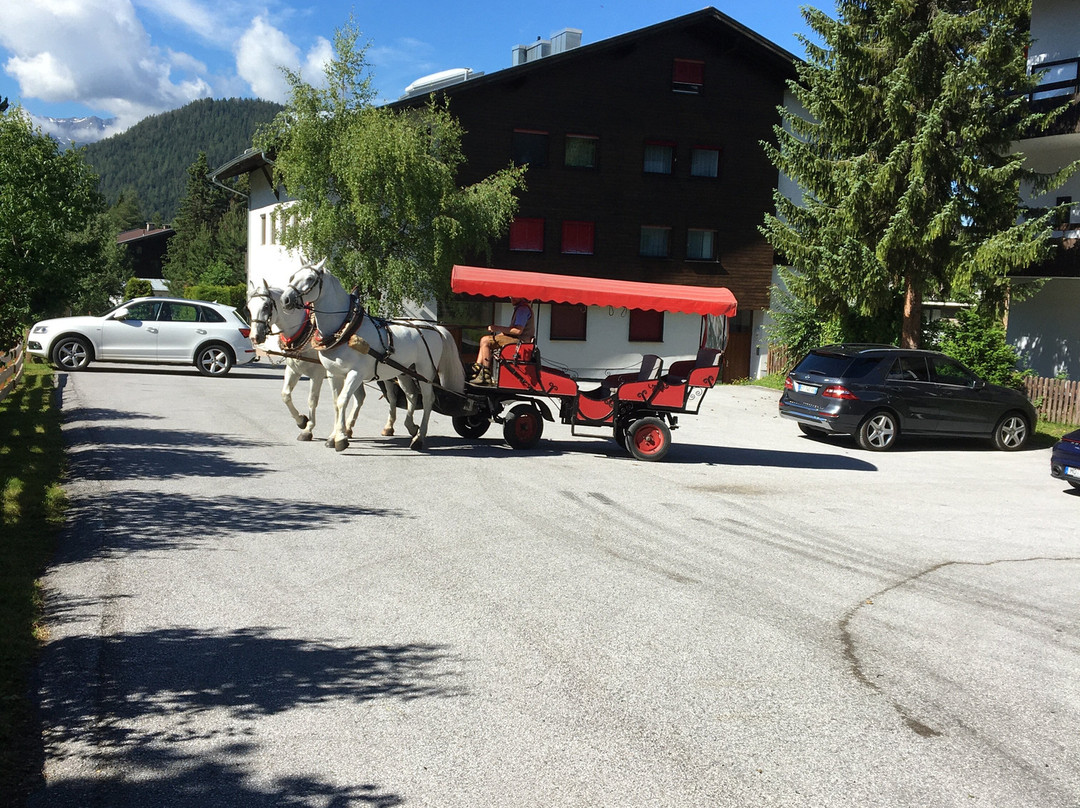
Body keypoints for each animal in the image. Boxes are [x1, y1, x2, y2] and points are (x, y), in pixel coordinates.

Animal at [278, 264, 464, 453]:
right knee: (412, 395)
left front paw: (340, 439)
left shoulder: (355, 373)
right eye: (292, 276)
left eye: (310, 279)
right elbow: (336, 403)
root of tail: (434, 327)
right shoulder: (333, 374)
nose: (285, 299)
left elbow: (342, 401)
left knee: (427, 399)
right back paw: (411, 427)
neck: (345, 329)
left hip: (424, 371)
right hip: (404, 371)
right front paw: (333, 436)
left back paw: (419, 438)